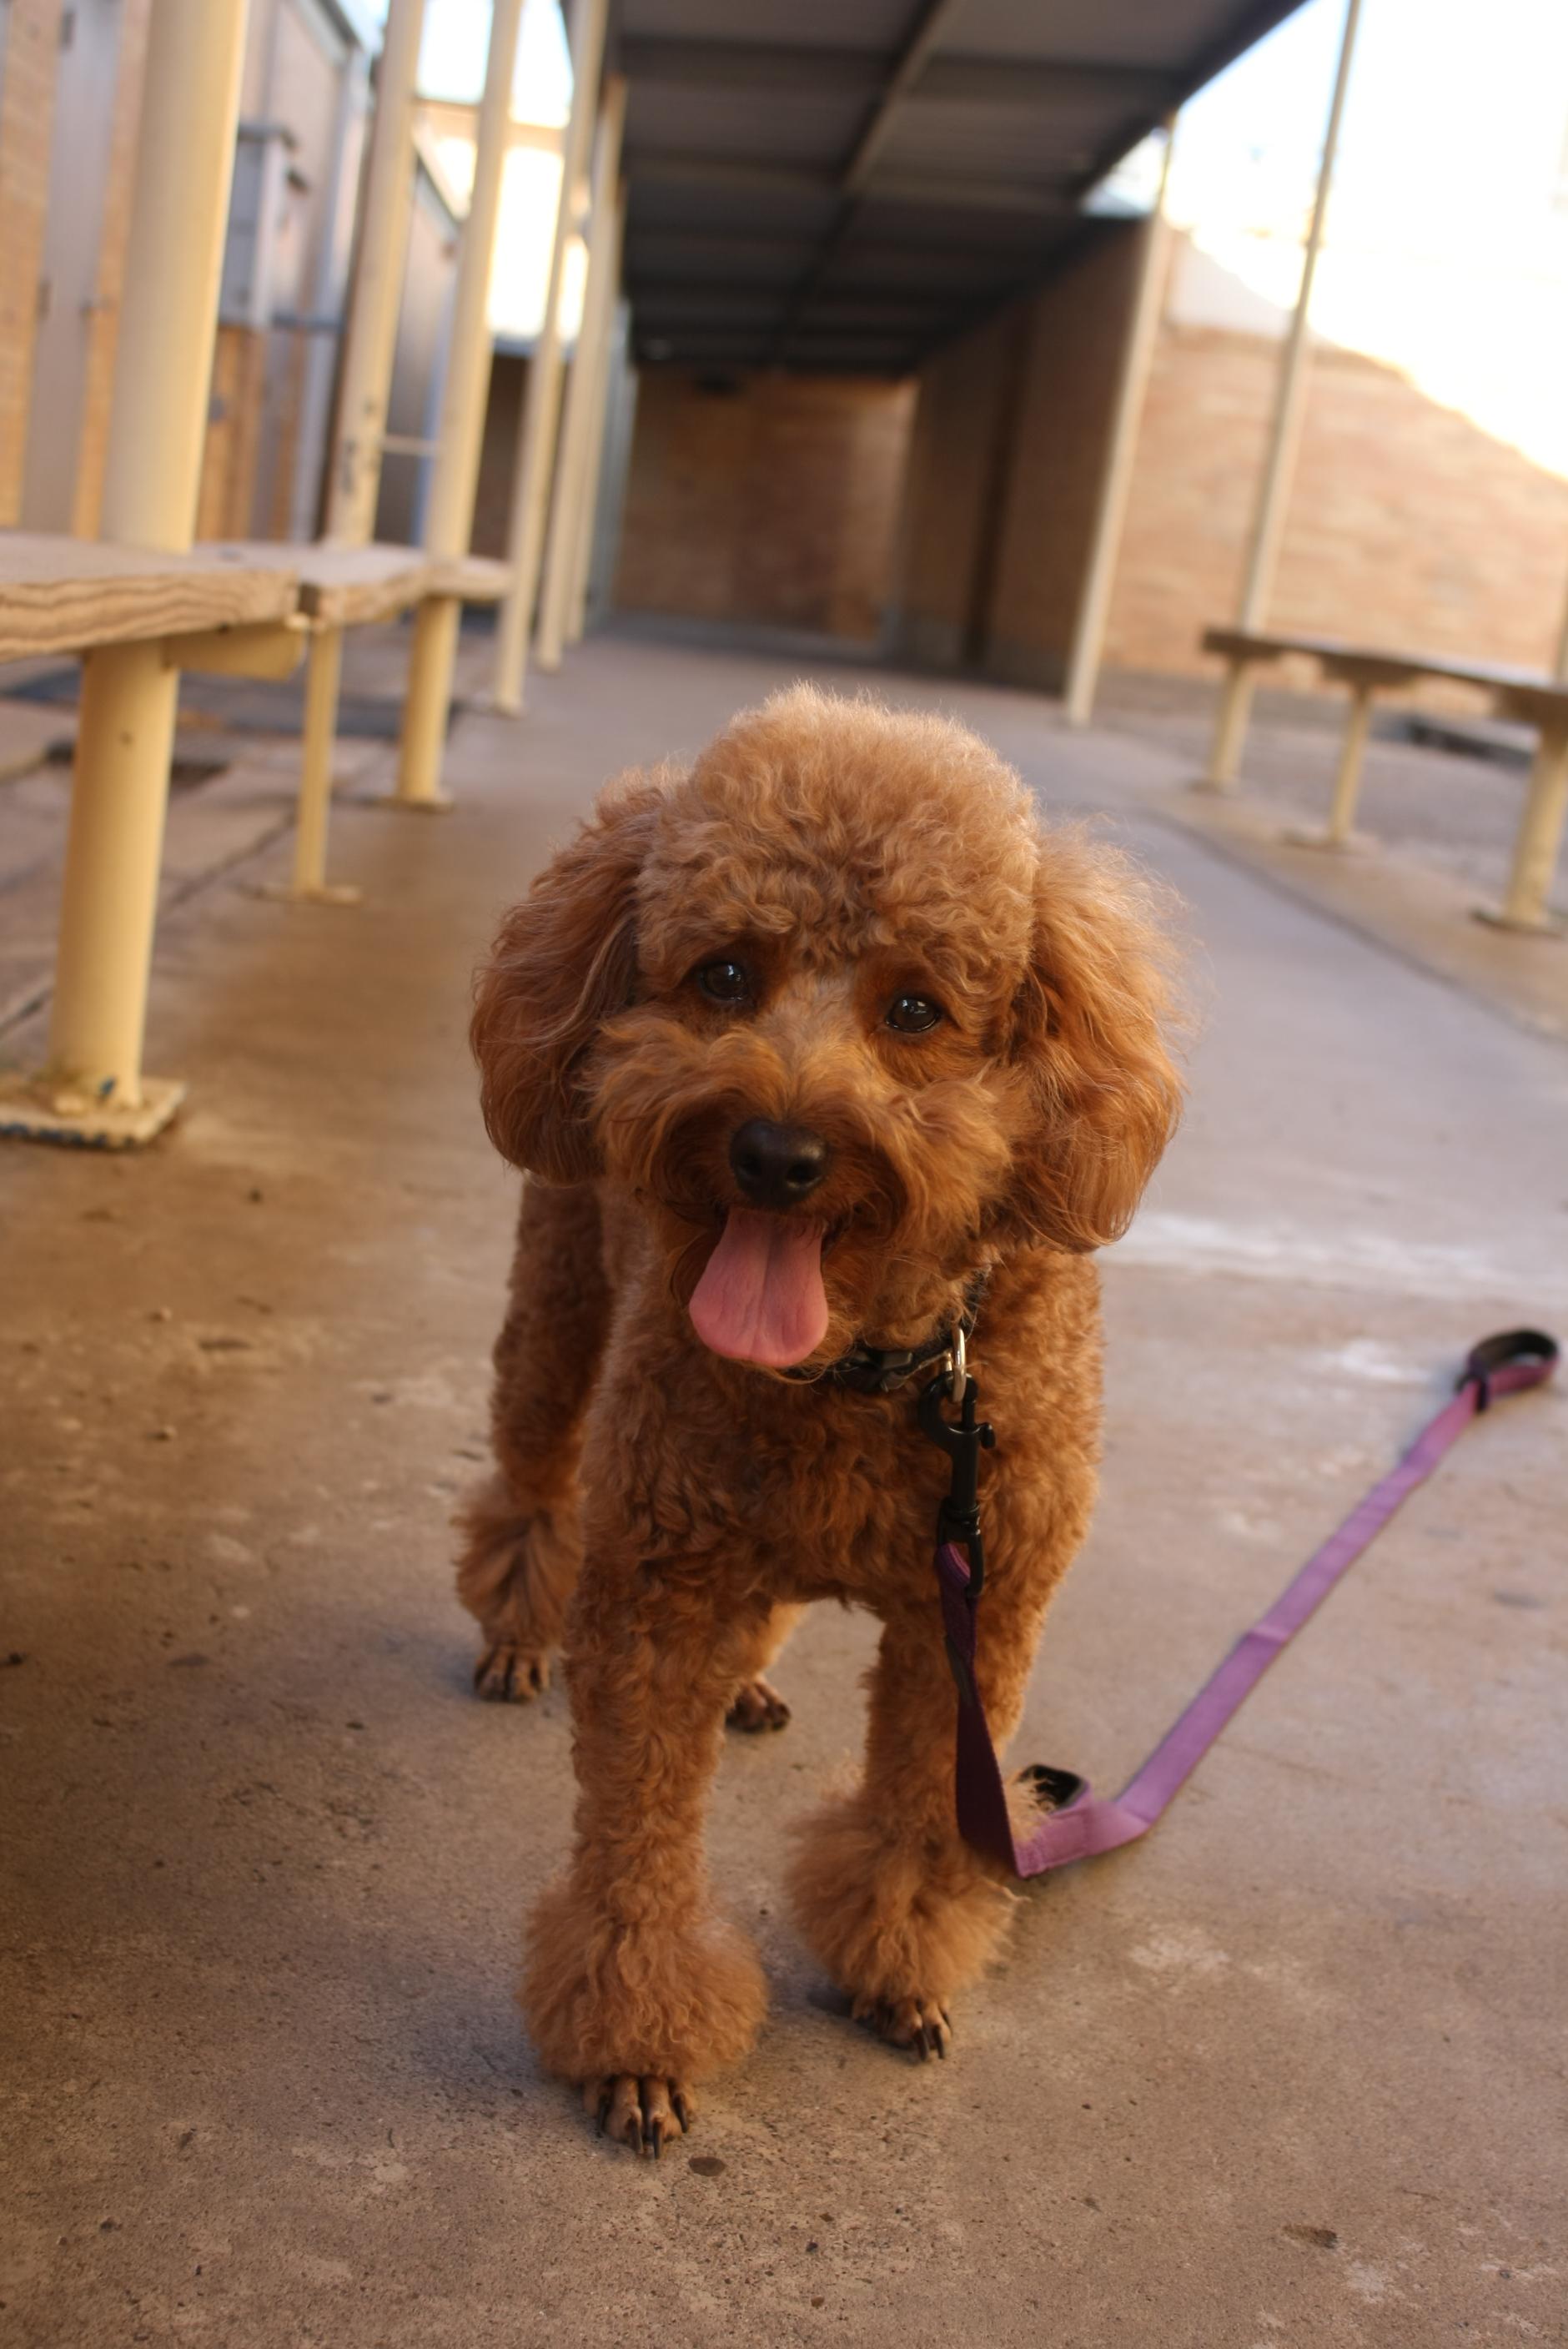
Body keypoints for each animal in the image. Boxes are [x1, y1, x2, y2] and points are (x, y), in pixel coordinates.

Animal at [458, 686, 1182, 2154]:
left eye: (915, 1007)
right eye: (725, 975)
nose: (777, 1154)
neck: (872, 1370)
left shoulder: (976, 1622)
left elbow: (921, 1812)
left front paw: (901, 1963)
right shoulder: (657, 1597)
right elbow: (636, 1838)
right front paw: (637, 2036)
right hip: (557, 1316)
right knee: (533, 1480)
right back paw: (516, 1630)